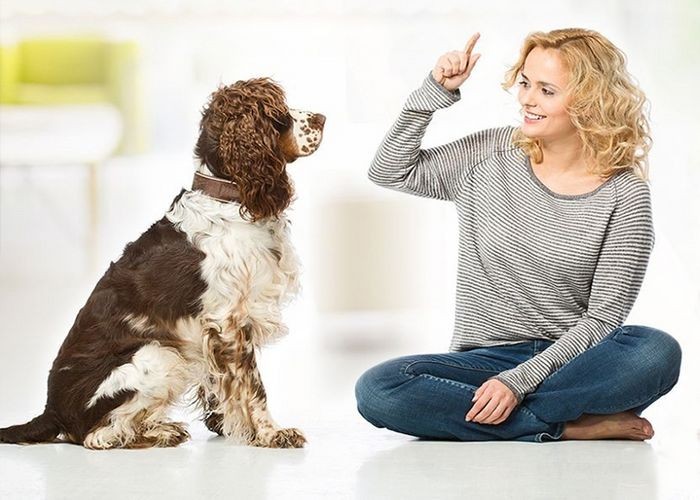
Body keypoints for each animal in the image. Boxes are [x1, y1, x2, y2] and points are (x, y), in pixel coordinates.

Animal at [0, 77, 326, 450]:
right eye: (278, 113)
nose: (322, 118)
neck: (228, 199)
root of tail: (51, 410)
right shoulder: (230, 321)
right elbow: (255, 389)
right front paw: (272, 433)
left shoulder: (216, 330)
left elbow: (221, 384)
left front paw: (225, 425)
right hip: (158, 354)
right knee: (96, 436)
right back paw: (156, 433)